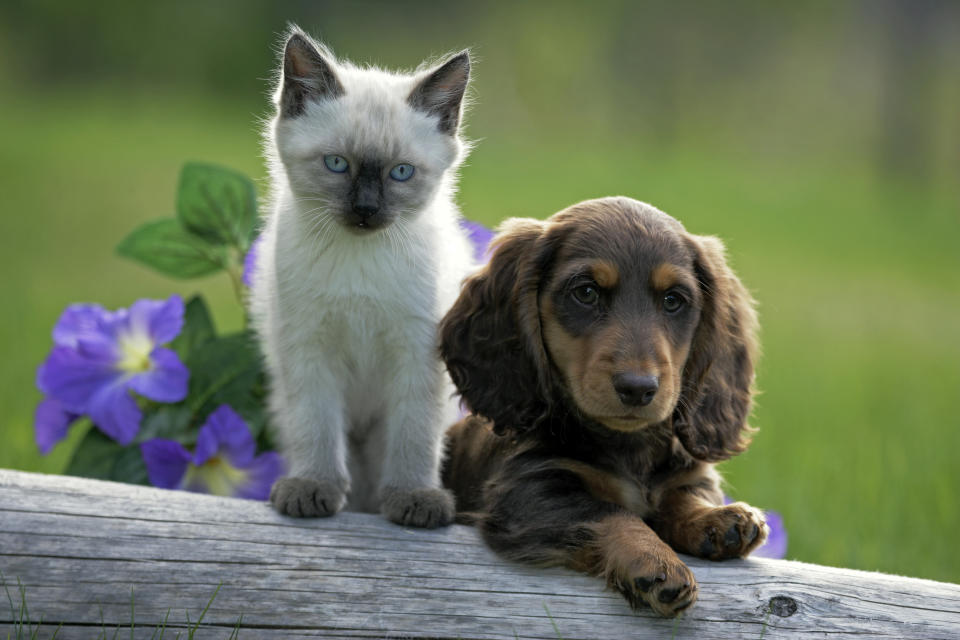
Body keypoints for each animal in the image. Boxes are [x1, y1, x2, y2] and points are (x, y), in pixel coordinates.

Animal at [248, 27, 472, 528]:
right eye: (337, 164)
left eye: (401, 173)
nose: (366, 210)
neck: (362, 262)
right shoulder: (309, 349)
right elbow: (316, 427)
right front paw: (313, 489)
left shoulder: (416, 356)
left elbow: (414, 437)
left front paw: (414, 499)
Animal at [440, 195, 764, 616]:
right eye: (586, 293)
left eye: (673, 301)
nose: (638, 389)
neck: (627, 445)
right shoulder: (525, 489)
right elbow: (610, 513)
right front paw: (654, 562)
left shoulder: (686, 474)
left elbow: (683, 495)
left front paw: (718, 519)